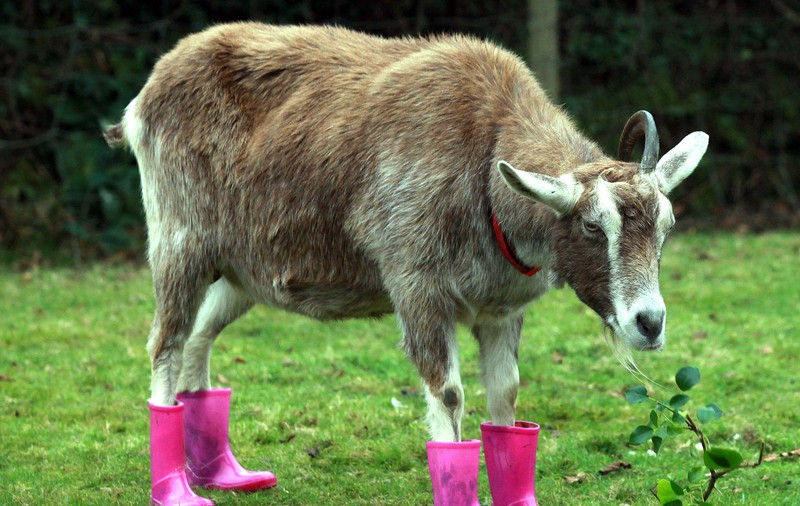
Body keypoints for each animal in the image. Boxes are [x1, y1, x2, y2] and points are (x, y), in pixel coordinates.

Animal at [106, 22, 708, 505]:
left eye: (667, 225)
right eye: (591, 227)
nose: (648, 324)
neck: (484, 155)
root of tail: (142, 101)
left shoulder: (501, 308)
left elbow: (506, 396)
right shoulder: (418, 288)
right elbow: (450, 395)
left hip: (240, 272)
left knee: (199, 339)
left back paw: (221, 476)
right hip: (179, 241)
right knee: (166, 343)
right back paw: (178, 491)